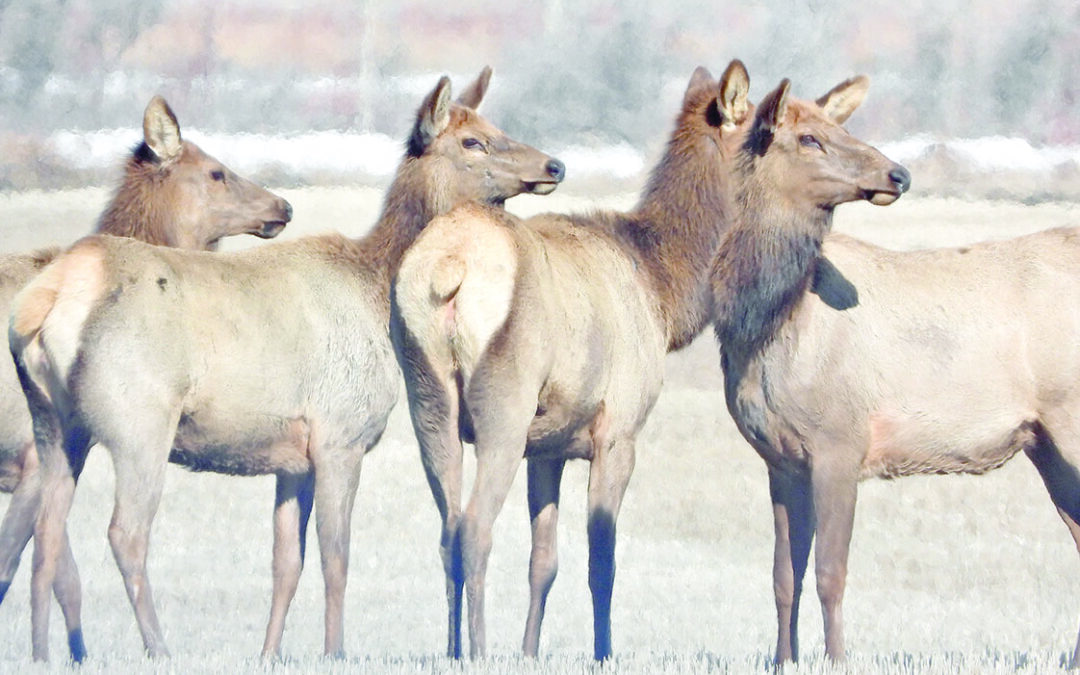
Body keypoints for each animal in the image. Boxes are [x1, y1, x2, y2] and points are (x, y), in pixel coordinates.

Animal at [390, 60, 752, 661]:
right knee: (475, 528)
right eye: (781, 128)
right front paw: (604, 650)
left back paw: (454, 649)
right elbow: (601, 560)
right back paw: (480, 651)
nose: (554, 164)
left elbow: (545, 561)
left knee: (447, 530)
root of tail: (448, 268)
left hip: (429, 402)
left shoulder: (548, 446)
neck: (664, 294)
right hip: (503, 404)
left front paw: (529, 650)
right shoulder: (618, 430)